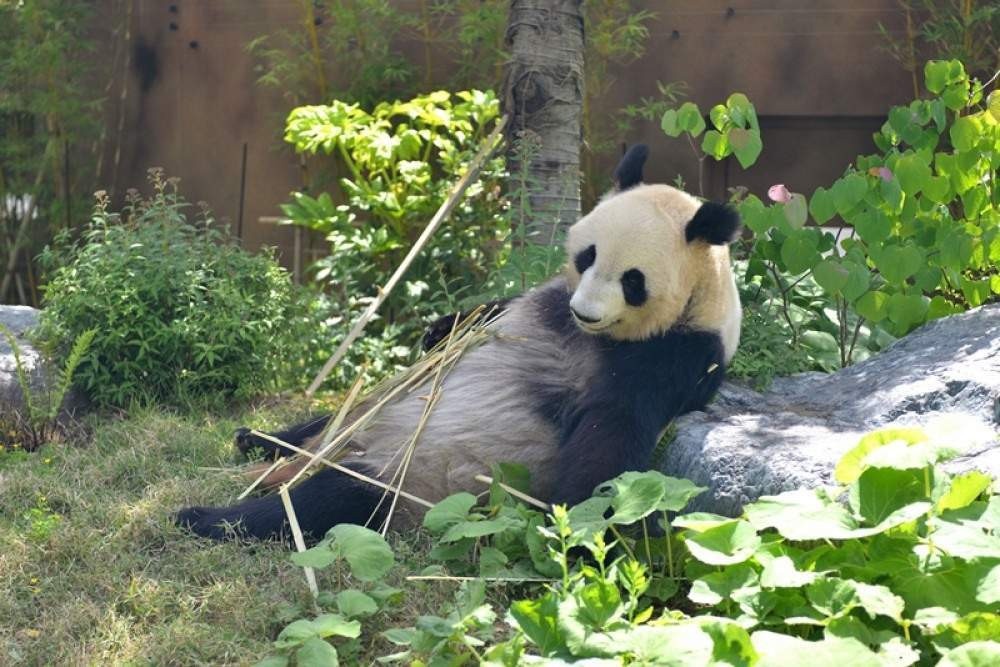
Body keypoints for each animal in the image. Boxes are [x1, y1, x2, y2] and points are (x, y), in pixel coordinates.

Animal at [178, 146, 744, 544]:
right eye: (587, 255)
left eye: (632, 280)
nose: (584, 312)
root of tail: (338, 452)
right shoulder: (542, 300)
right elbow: (483, 316)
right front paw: (436, 331)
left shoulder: (672, 355)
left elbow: (612, 432)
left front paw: (579, 523)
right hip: (368, 418)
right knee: (324, 423)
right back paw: (256, 439)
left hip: (417, 476)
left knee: (333, 501)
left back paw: (207, 518)